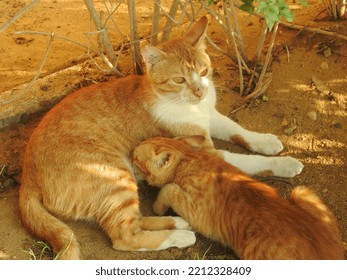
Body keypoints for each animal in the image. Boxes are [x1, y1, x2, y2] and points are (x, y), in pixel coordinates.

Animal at [19, 16, 304, 260]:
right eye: (179, 79)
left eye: (204, 71)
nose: (200, 91)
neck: (191, 106)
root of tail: (26, 176)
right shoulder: (203, 148)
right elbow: (247, 161)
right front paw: (286, 163)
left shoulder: (211, 117)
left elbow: (238, 130)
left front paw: (266, 141)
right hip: (116, 177)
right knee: (124, 236)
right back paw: (180, 235)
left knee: (135, 221)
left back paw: (178, 221)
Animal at [131, 136, 346, 260]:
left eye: (135, 158)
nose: (129, 154)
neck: (190, 159)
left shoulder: (193, 208)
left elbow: (169, 188)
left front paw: (158, 206)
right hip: (302, 192)